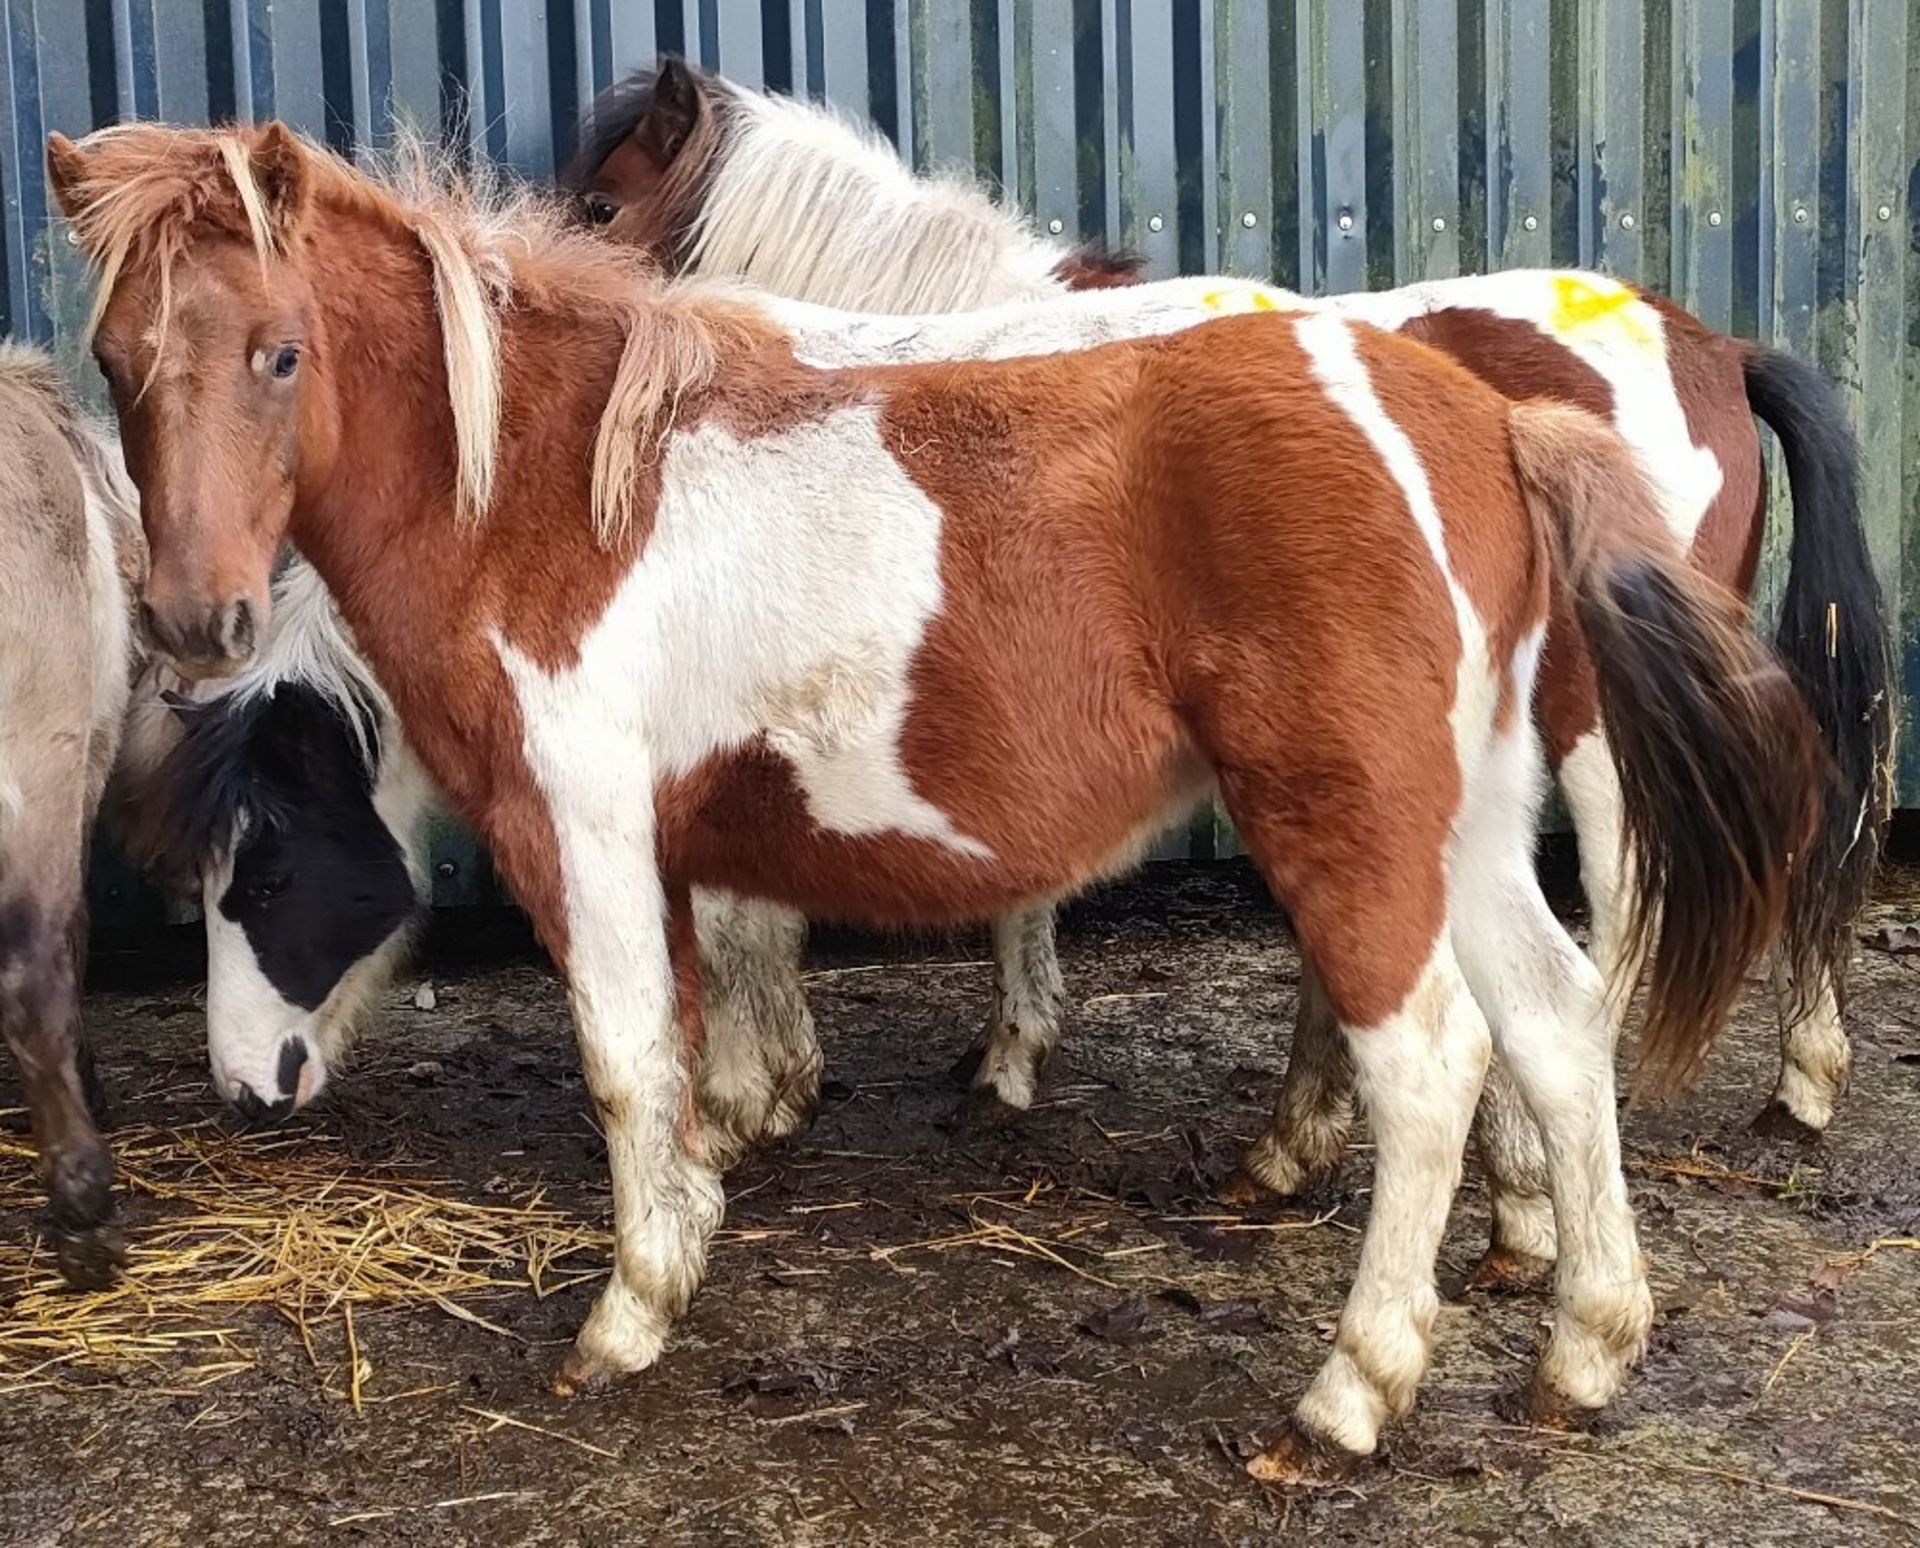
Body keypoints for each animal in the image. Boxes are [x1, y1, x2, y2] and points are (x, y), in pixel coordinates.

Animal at [48, 118, 1827, 1482]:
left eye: (280, 353)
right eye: (119, 362)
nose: (194, 619)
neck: (552, 489)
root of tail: (1485, 415)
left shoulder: (585, 822)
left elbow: (628, 1060)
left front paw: (630, 1312)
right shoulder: (688, 835)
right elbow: (694, 1026)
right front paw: (711, 1192)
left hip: (1360, 828)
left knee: (1436, 1062)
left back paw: (1349, 1394)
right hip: (1465, 825)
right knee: (1557, 1023)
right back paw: (1584, 1346)